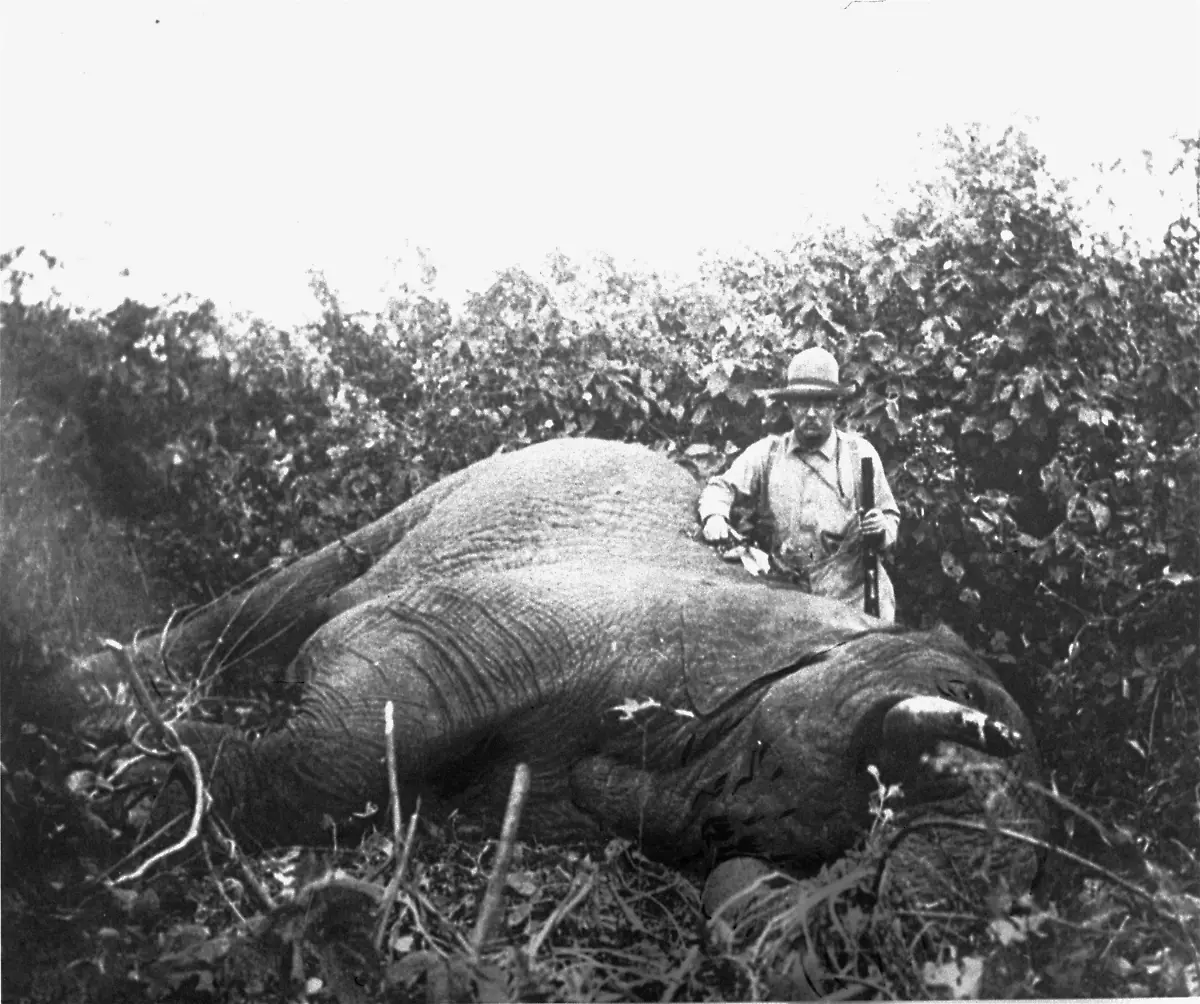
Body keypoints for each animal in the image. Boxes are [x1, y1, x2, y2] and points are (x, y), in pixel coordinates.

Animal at [123, 437, 1045, 893]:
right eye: (958, 692)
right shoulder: (559, 625)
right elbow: (371, 718)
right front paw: (146, 787)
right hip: (463, 488)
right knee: (302, 588)